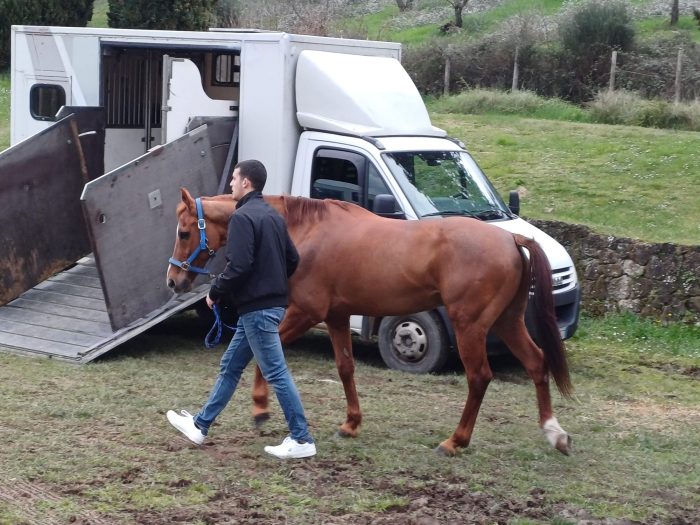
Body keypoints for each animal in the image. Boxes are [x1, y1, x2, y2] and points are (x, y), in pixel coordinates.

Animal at [167, 188, 572, 454]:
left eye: (183, 232)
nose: (173, 281)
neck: (303, 231)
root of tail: (511, 238)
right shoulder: (336, 317)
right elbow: (345, 368)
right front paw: (350, 424)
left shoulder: (305, 313)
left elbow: (265, 355)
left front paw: (261, 407)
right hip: (507, 322)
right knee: (537, 363)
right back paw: (554, 433)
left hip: (470, 327)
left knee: (479, 377)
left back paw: (455, 441)